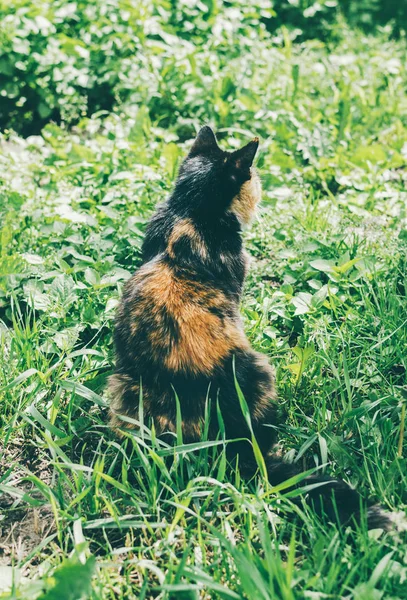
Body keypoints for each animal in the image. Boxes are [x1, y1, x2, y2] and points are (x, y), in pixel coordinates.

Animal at [108, 126, 392, 528]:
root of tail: (226, 447)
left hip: (123, 385)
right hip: (258, 369)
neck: (189, 210)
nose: (261, 186)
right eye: (253, 177)